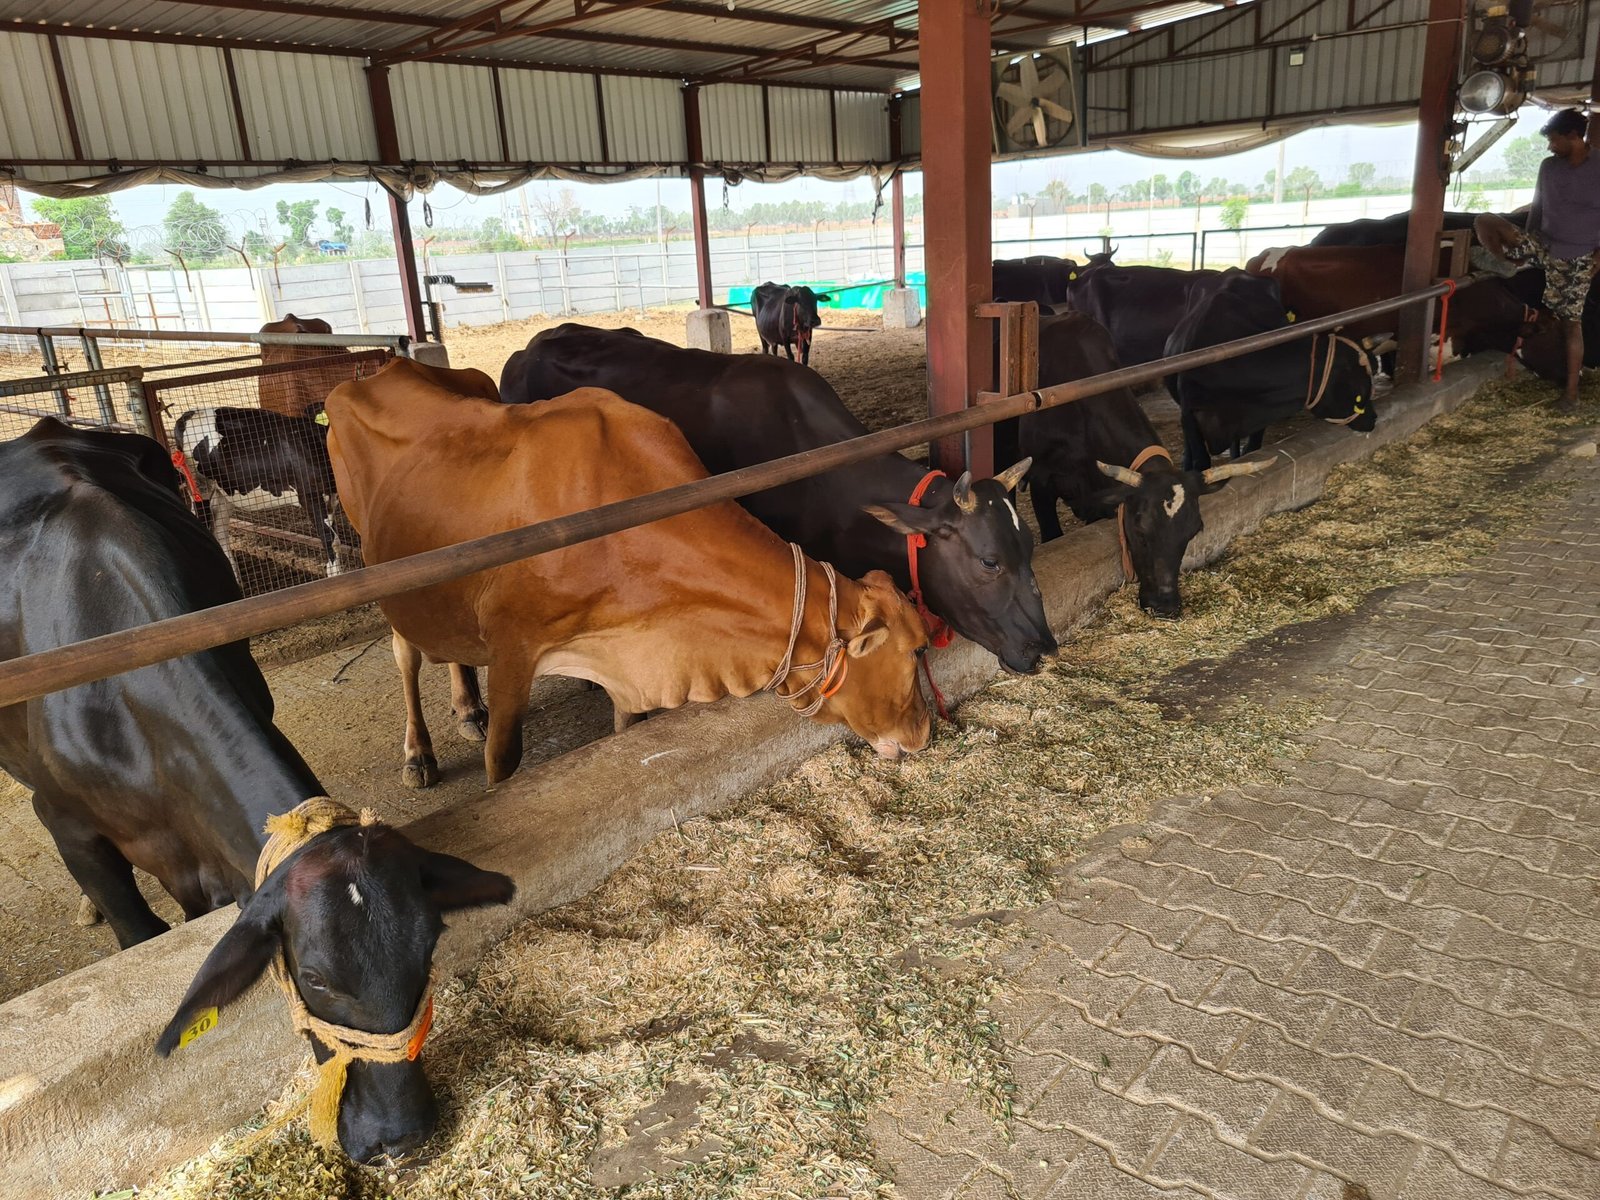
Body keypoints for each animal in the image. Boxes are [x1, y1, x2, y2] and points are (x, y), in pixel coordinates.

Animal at [171, 404, 354, 579]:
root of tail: (187, 414)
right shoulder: (311, 495)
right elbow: (330, 539)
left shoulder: (331, 498)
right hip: (200, 488)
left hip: (222, 493)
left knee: (220, 532)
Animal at [326, 359, 932, 788]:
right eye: (913, 654)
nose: (925, 733)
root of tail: (382, 369)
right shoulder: (512, 649)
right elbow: (502, 762)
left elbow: (627, 727)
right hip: (378, 564)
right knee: (406, 654)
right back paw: (418, 753)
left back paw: (467, 707)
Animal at [1165, 273, 1380, 471]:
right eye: (1361, 391)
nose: (1374, 418)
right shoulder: (1190, 415)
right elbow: (1201, 462)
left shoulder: (1261, 413)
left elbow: (1252, 450)